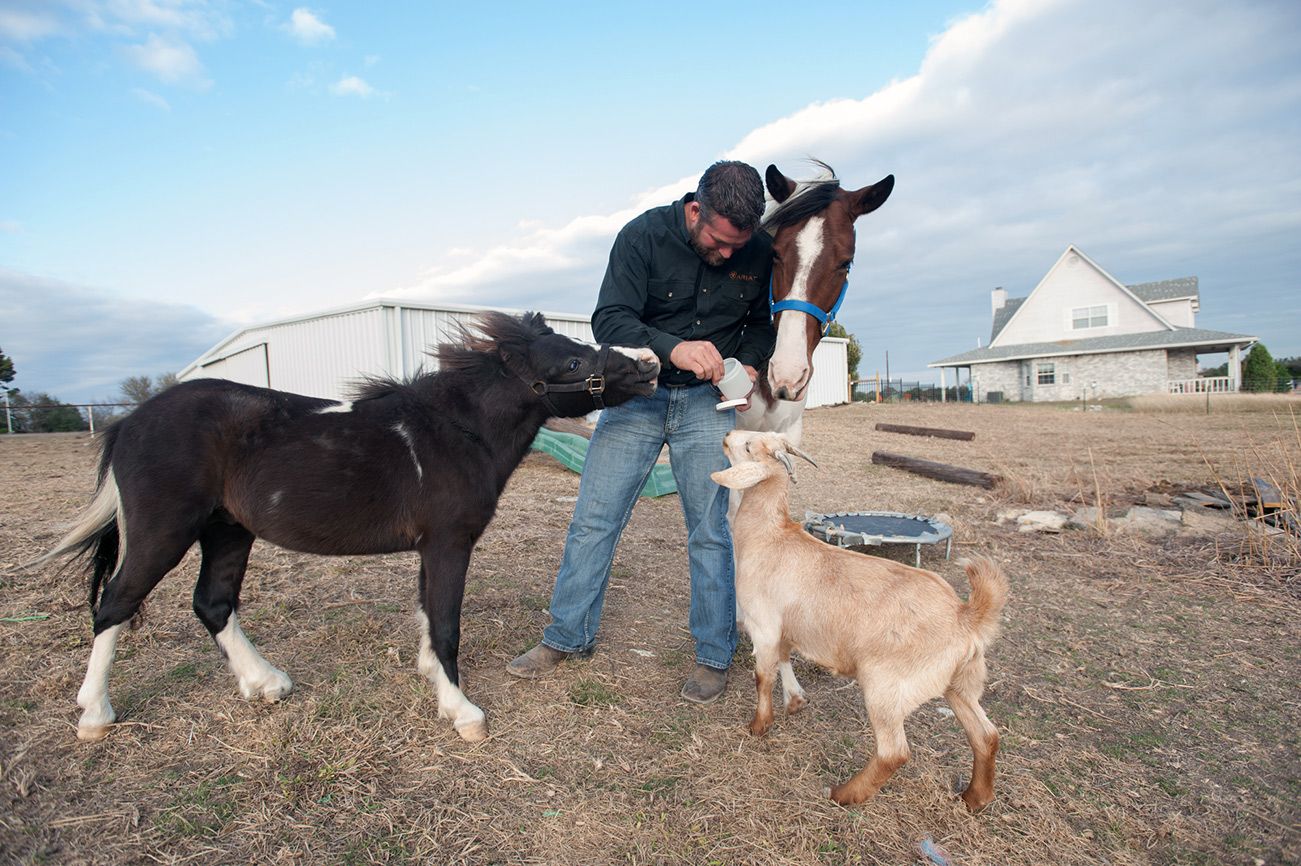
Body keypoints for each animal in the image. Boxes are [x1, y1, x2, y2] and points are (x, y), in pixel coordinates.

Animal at [40, 313, 660, 738]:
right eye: (574, 363)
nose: (650, 364)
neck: (452, 431)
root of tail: (129, 422)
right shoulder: (449, 543)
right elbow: (446, 625)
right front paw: (462, 712)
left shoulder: (429, 548)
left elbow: (427, 615)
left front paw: (433, 682)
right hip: (164, 532)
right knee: (116, 604)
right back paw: (95, 715)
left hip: (227, 530)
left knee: (212, 604)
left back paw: (266, 684)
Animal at [712, 431, 1004, 811]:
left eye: (748, 446)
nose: (726, 435)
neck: (769, 536)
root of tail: (965, 616)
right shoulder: (786, 625)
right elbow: (785, 657)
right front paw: (795, 701)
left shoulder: (763, 625)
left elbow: (763, 676)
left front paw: (759, 726)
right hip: (961, 684)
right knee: (986, 735)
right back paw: (974, 798)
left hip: (887, 686)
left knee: (894, 752)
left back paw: (844, 794)